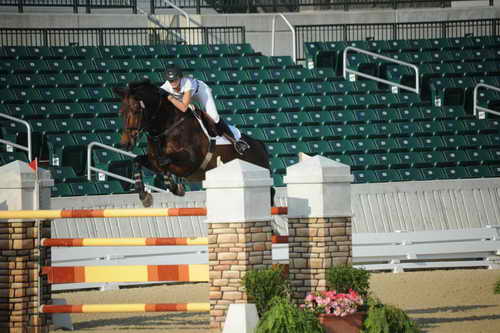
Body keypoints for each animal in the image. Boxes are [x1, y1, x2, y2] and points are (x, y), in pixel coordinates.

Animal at [112, 79, 276, 206]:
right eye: (121, 112)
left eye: (136, 110)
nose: (125, 144)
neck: (166, 126)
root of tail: (260, 145)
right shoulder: (153, 160)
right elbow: (138, 161)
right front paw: (145, 196)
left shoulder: (191, 160)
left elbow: (164, 161)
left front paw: (173, 185)